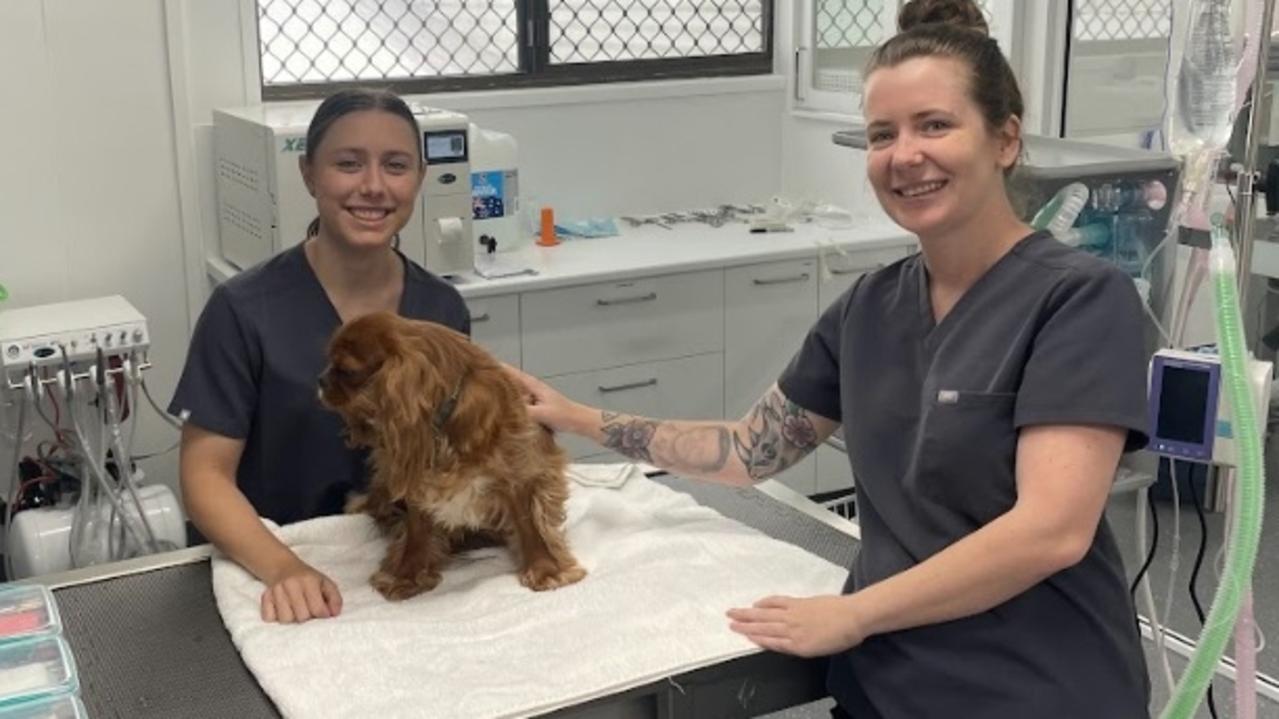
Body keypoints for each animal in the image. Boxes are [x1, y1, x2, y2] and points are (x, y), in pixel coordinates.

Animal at [319, 313, 585, 598]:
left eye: (347, 371)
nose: (320, 380)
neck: (442, 425)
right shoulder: (416, 485)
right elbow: (416, 532)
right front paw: (406, 575)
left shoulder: (518, 470)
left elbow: (529, 526)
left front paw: (547, 569)